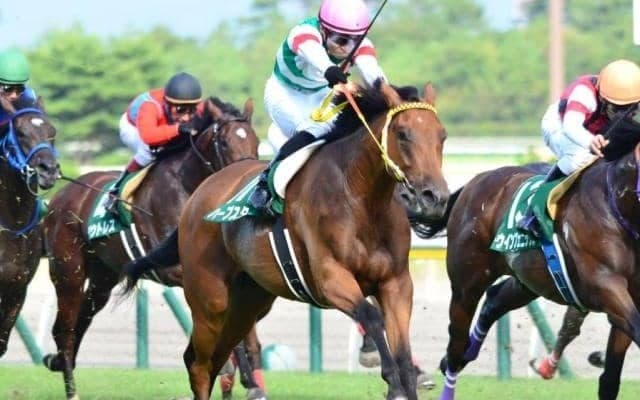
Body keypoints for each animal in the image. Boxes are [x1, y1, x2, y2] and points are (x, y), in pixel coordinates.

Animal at [42, 96, 259, 400]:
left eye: (255, 141)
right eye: (225, 143)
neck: (187, 189)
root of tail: (59, 198)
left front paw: (245, 379)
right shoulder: (177, 271)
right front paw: (234, 374)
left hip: (102, 278)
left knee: (81, 318)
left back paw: (60, 362)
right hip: (68, 271)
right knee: (66, 328)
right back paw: (71, 389)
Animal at [124, 80, 449, 400]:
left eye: (442, 136)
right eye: (403, 134)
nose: (433, 197)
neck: (359, 198)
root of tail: (198, 195)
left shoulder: (396, 282)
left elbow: (402, 349)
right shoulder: (330, 278)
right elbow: (371, 315)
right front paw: (392, 384)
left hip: (247, 303)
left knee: (217, 357)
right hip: (209, 301)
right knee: (199, 365)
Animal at [430, 142, 640, 400]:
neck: (617, 205)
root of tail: (475, 181)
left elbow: (609, 379)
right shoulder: (606, 285)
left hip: (530, 280)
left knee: (494, 300)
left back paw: (469, 351)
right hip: (466, 285)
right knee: (456, 344)